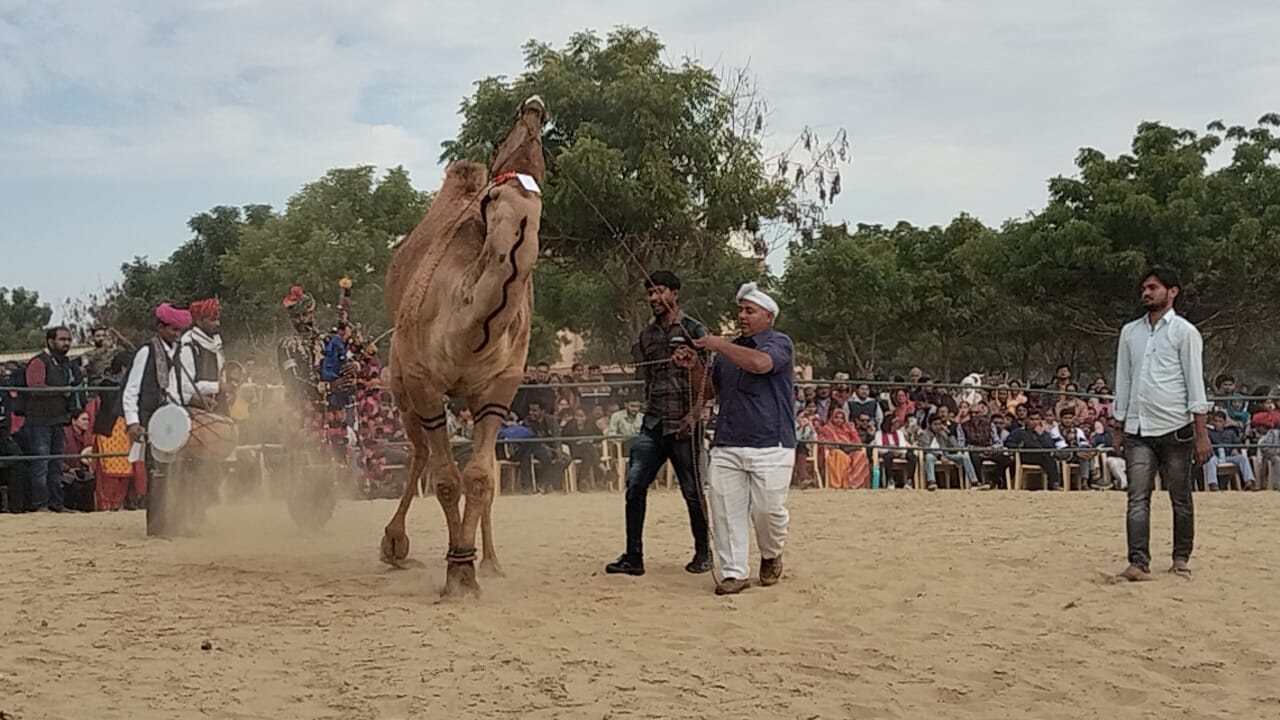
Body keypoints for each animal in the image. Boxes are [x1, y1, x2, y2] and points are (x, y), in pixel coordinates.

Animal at [373, 96, 545, 599]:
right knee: (418, 453)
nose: (534, 107)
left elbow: (482, 477)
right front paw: (455, 573)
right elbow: (447, 480)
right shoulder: (424, 384)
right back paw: (394, 545)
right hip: (400, 386)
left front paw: (470, 567)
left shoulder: (499, 388)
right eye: (503, 135)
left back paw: (491, 561)